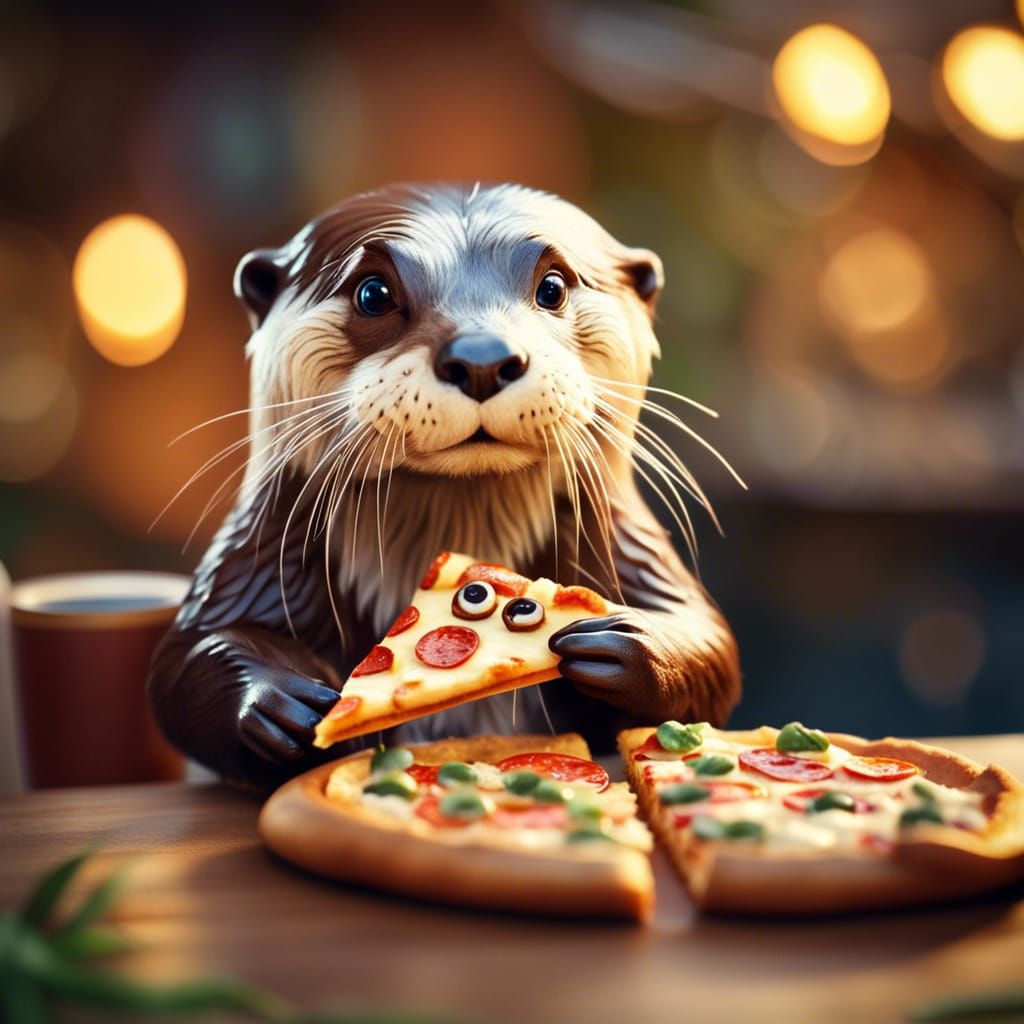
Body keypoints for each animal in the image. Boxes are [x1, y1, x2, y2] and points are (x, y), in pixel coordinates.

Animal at [148, 183, 740, 789]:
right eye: (374, 293)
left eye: (552, 287)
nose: (481, 358)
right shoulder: (260, 554)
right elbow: (186, 658)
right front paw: (277, 703)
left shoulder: (629, 544)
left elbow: (711, 641)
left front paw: (626, 642)